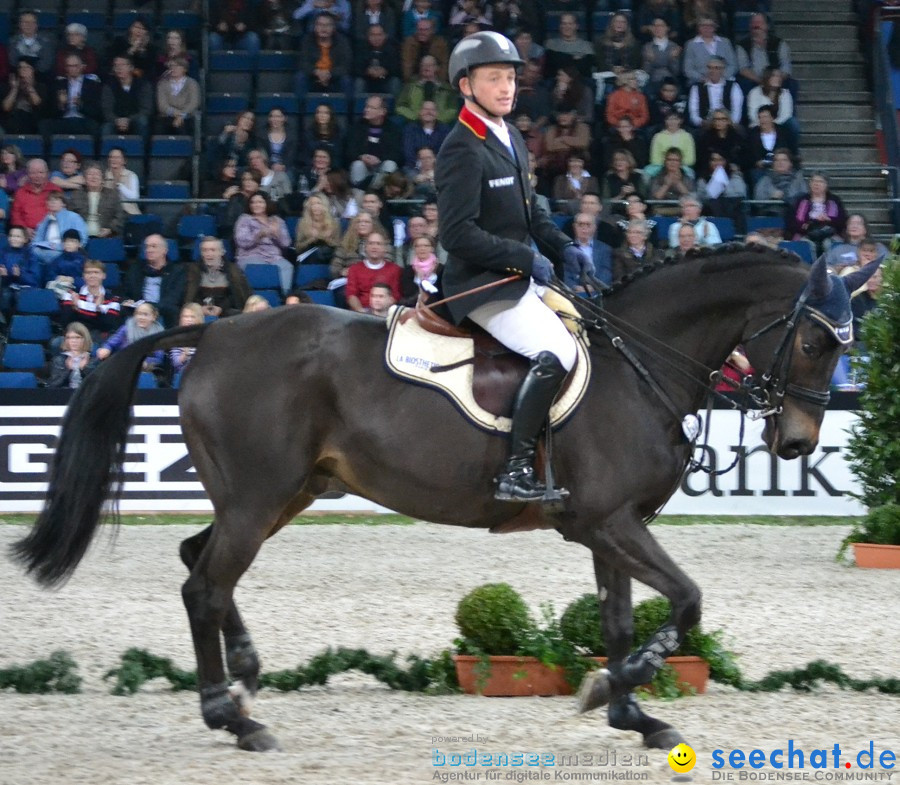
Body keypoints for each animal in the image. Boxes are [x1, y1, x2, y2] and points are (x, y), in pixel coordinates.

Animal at [10, 248, 876, 752]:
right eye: (813, 340)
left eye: (845, 344)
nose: (796, 442)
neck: (640, 362)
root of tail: (214, 331)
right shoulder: (608, 521)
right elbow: (688, 600)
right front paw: (610, 688)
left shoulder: (609, 527)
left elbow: (622, 617)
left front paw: (633, 712)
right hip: (259, 499)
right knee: (203, 583)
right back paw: (235, 715)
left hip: (284, 492)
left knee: (202, 565)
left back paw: (245, 677)